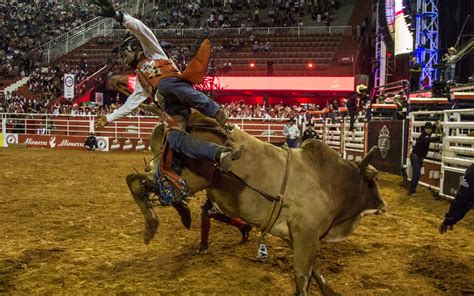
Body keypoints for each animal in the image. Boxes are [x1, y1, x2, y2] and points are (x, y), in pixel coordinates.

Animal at [127, 112, 388, 294]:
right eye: (373, 180)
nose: (383, 205)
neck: (331, 180)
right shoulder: (306, 233)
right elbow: (303, 276)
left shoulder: (297, 236)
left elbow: (314, 270)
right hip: (189, 178)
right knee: (137, 182)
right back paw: (156, 223)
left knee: (142, 182)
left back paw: (181, 214)